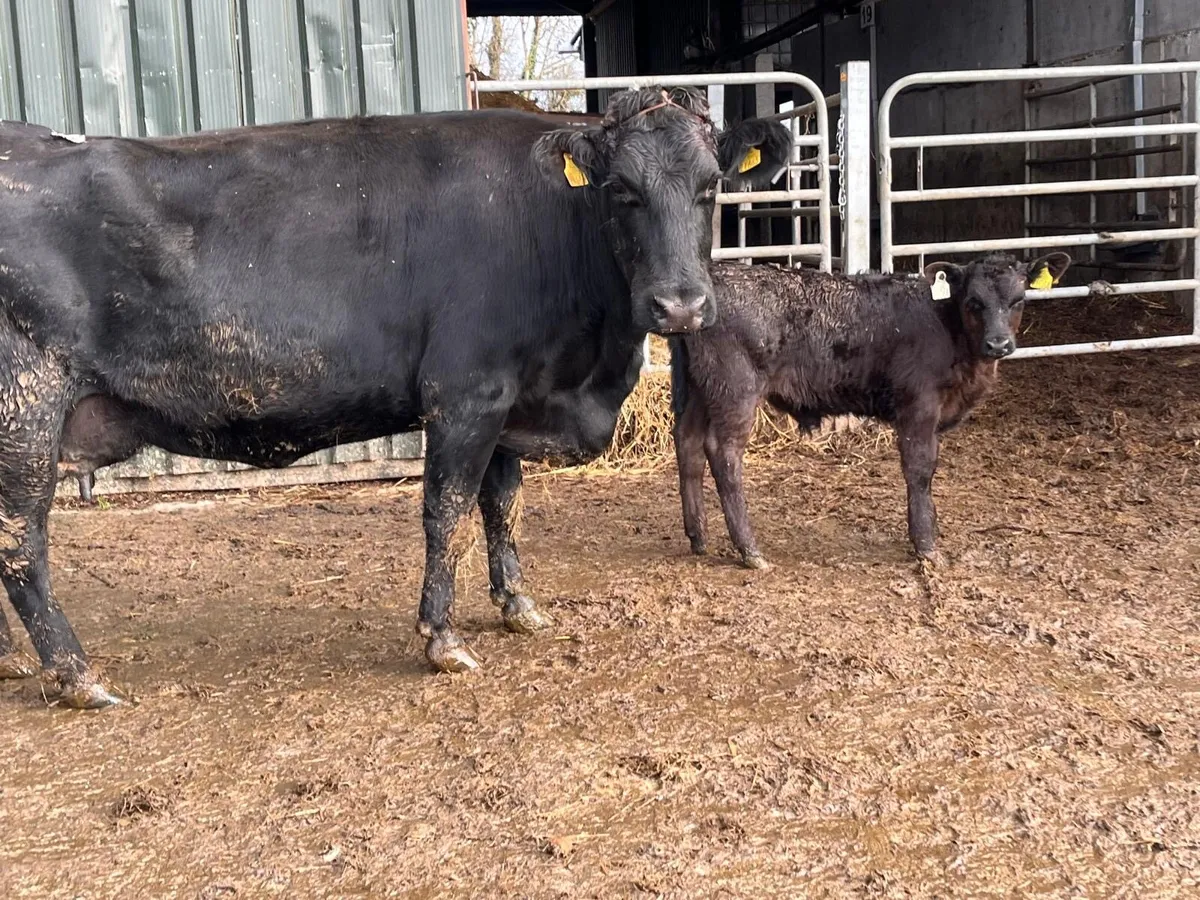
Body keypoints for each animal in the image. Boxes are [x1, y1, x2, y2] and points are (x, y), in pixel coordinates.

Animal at [0, 89, 793, 707]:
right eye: (621, 191)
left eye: (712, 186)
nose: (681, 306)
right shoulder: (466, 394)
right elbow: (447, 513)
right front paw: (442, 638)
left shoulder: (509, 402)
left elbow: (502, 505)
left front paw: (518, 606)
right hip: (26, 409)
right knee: (21, 544)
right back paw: (76, 675)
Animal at [669, 252, 1072, 568]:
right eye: (973, 301)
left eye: (1018, 299)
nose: (999, 344)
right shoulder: (918, 407)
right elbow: (920, 470)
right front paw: (926, 545)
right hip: (735, 389)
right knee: (724, 454)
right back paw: (750, 550)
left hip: (701, 388)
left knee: (687, 442)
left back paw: (698, 536)